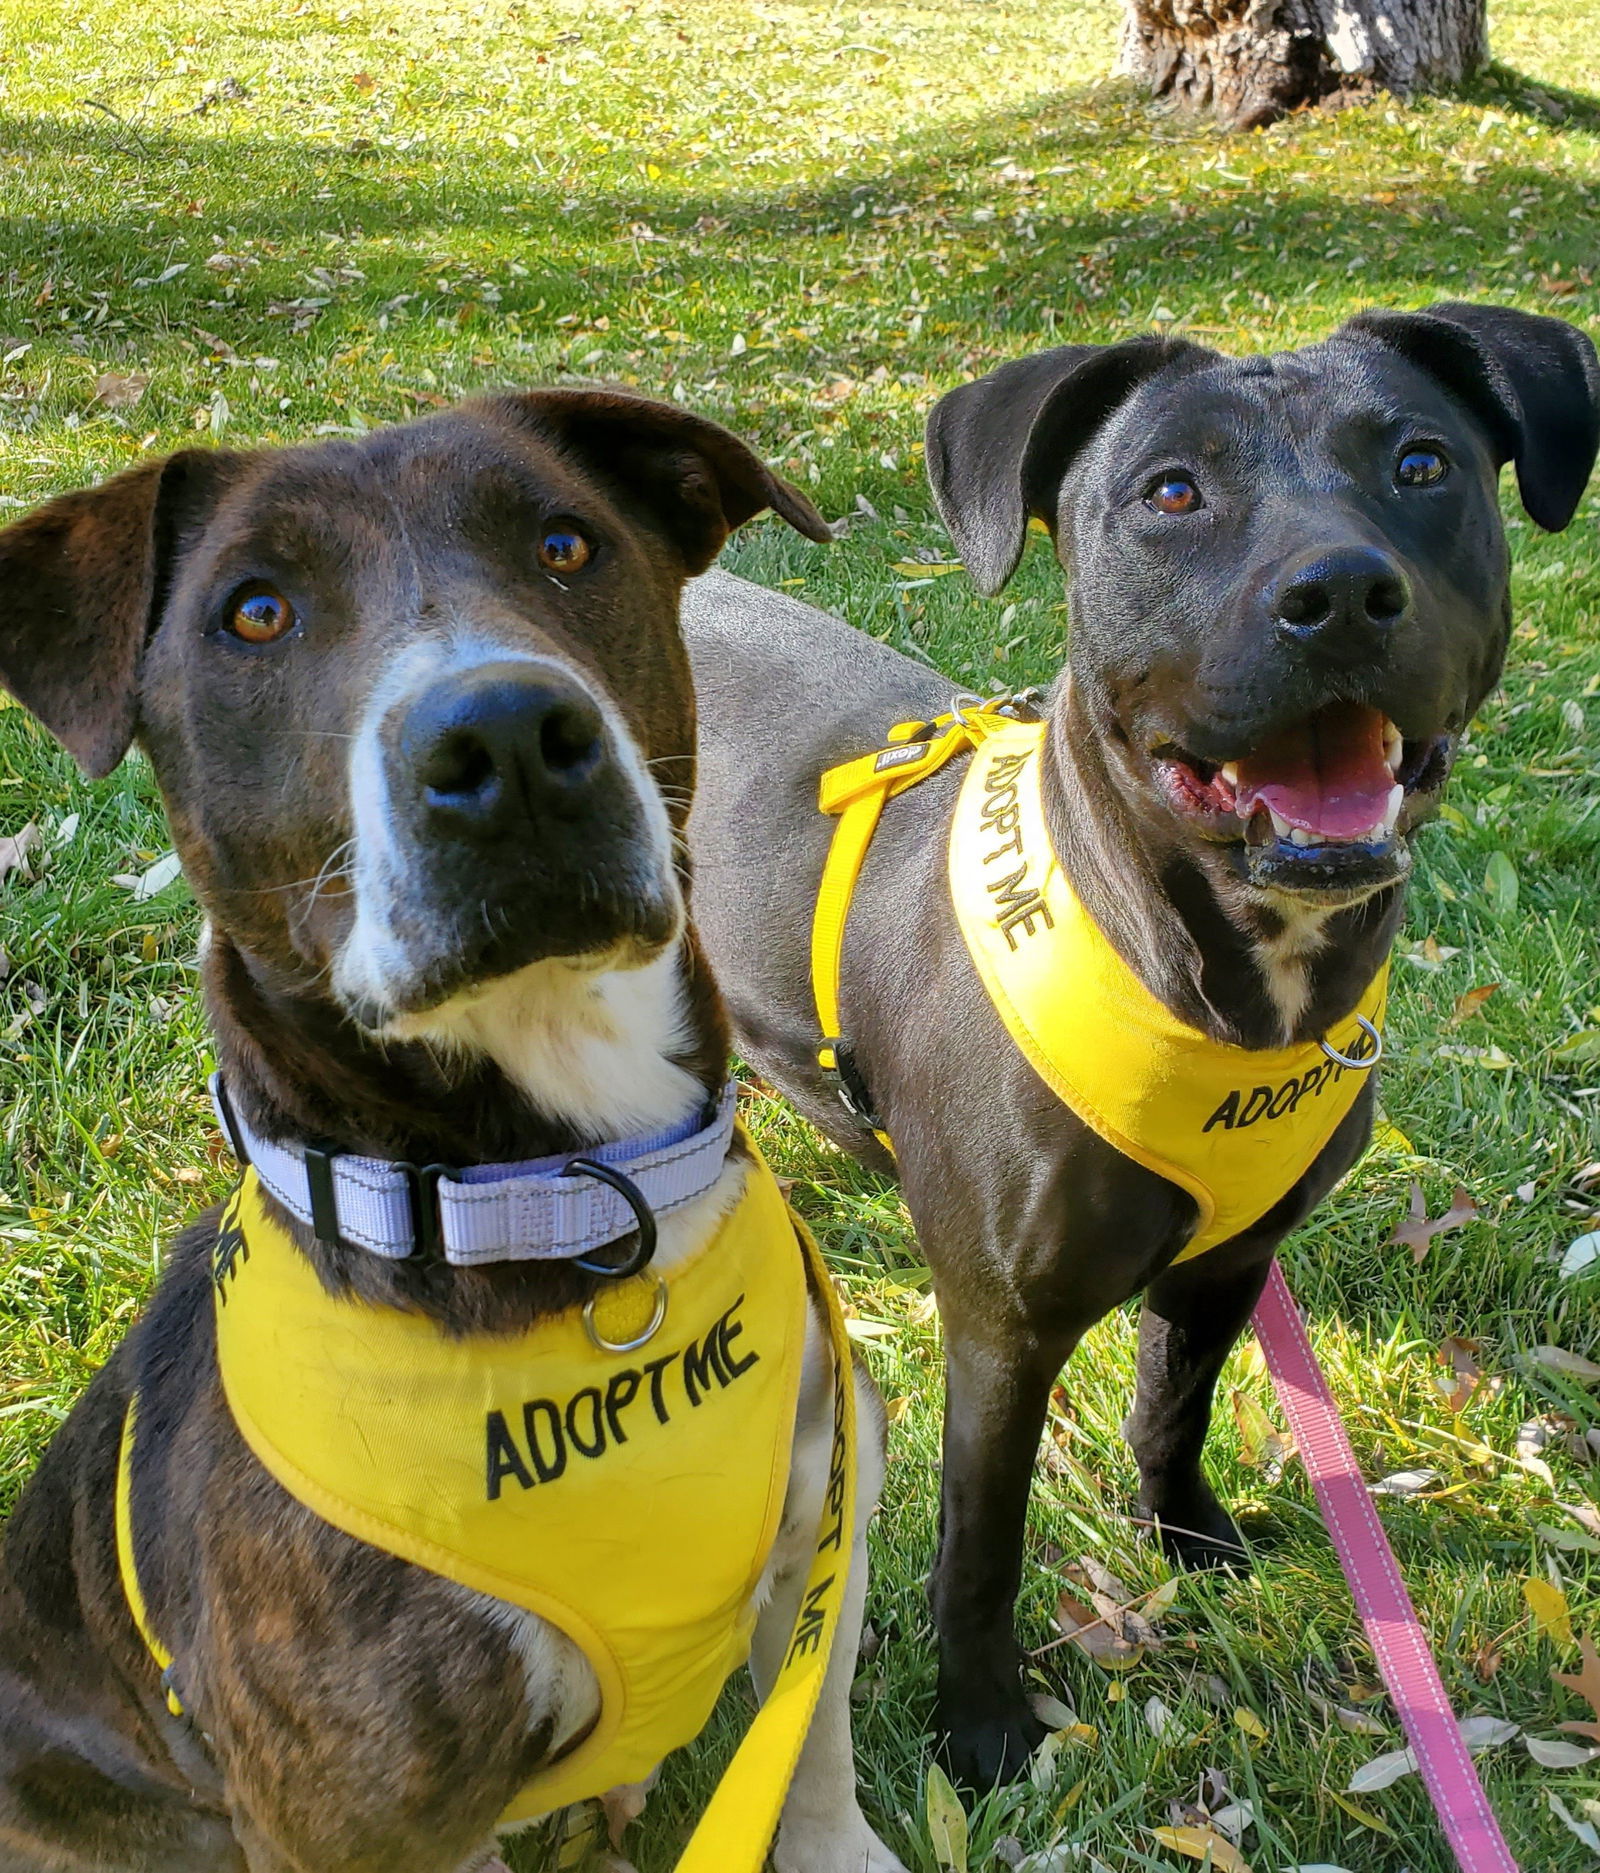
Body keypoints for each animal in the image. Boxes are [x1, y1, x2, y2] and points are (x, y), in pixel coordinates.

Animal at [0, 383, 906, 1873]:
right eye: (256, 611)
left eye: (566, 544)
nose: (509, 739)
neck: (572, 1199)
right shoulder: (362, 1820)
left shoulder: (819, 1537)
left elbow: (812, 1758)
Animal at [678, 303, 1600, 1783]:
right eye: (1172, 491)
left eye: (1421, 463)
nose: (1340, 591)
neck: (1221, 986)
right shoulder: (1000, 1329)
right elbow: (981, 1544)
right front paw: (984, 1726)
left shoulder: (1232, 1258)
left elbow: (1173, 1408)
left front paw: (1187, 1542)